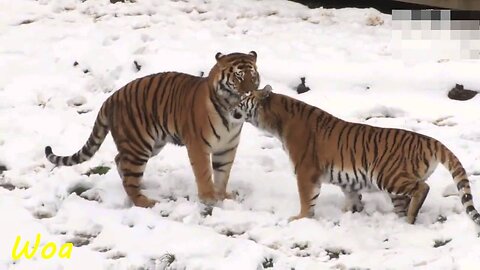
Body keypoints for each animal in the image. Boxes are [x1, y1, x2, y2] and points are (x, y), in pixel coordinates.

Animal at [45, 52, 260, 209]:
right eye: (238, 77)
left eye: (254, 76)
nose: (250, 92)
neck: (231, 112)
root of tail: (111, 98)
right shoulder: (198, 146)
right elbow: (204, 173)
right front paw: (209, 199)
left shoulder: (227, 147)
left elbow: (223, 174)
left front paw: (223, 196)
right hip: (138, 146)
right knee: (129, 176)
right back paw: (145, 201)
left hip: (152, 144)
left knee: (120, 160)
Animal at [230, 85, 480, 225]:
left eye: (242, 100)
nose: (231, 108)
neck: (276, 122)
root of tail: (430, 140)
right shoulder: (348, 180)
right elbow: (351, 196)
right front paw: (351, 212)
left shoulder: (305, 172)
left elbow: (306, 199)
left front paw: (300, 218)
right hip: (395, 187)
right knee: (408, 199)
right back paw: (406, 219)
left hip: (389, 176)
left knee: (422, 188)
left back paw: (410, 217)